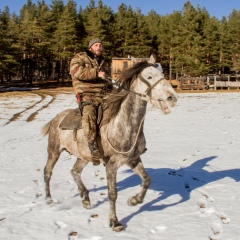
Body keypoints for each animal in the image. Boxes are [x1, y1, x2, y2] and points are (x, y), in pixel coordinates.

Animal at [42, 56, 178, 231]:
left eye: (161, 73)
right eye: (149, 76)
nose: (172, 97)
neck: (123, 125)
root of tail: (56, 119)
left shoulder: (133, 159)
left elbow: (147, 180)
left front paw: (134, 200)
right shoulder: (112, 165)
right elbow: (112, 194)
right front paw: (114, 222)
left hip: (84, 157)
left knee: (75, 172)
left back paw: (85, 199)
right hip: (54, 151)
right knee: (47, 172)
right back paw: (49, 200)